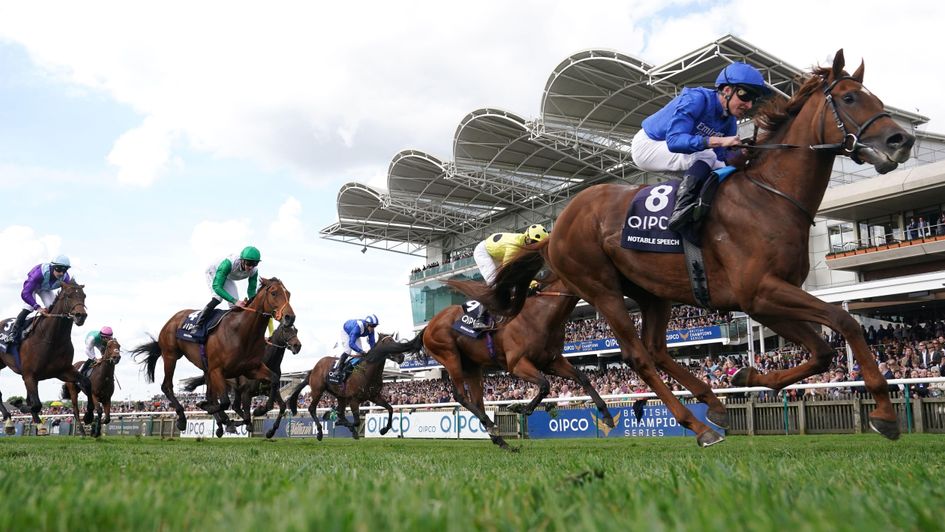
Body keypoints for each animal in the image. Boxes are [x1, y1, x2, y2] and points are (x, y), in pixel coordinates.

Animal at [0, 278, 91, 424]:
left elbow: (86, 383)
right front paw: (17, 403)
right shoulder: (29, 376)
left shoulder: (63, 371)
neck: (51, 339)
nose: (81, 315)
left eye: (84, 296)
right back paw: (7, 413)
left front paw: (89, 415)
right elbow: (36, 404)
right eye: (68, 296)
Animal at [133, 276, 294, 438]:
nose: (290, 317)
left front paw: (260, 410)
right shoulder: (218, 370)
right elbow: (224, 402)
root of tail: (172, 319)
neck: (242, 333)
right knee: (167, 386)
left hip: (206, 369)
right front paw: (207, 408)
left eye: (288, 293)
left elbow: (274, 380)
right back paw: (184, 418)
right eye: (274, 293)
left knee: (211, 396)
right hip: (171, 355)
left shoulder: (251, 369)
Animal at [286, 334, 418, 442]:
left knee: (340, 412)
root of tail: (313, 369)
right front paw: (337, 421)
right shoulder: (354, 400)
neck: (367, 372)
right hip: (318, 391)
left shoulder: (374, 396)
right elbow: (357, 421)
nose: (401, 357)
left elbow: (390, 409)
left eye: (395, 341)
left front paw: (384, 430)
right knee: (312, 409)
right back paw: (319, 432)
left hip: (340, 396)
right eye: (388, 344)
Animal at [410, 276, 616, 450]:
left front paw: (606, 415)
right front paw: (520, 407)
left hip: (472, 366)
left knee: (477, 401)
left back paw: (500, 440)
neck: (541, 315)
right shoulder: (517, 364)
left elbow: (582, 378)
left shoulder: (552, 361)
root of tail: (428, 326)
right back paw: (493, 426)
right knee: (460, 395)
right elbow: (544, 385)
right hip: (449, 355)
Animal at [464, 52, 916, 446]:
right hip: (601, 288)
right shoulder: (760, 292)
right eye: (850, 98)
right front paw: (884, 414)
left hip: (653, 292)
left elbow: (822, 351)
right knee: (638, 356)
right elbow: (846, 321)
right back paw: (697, 426)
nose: (903, 139)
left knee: (658, 350)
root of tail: (558, 225)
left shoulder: (763, 301)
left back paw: (712, 405)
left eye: (877, 98)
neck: (769, 196)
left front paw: (745, 378)